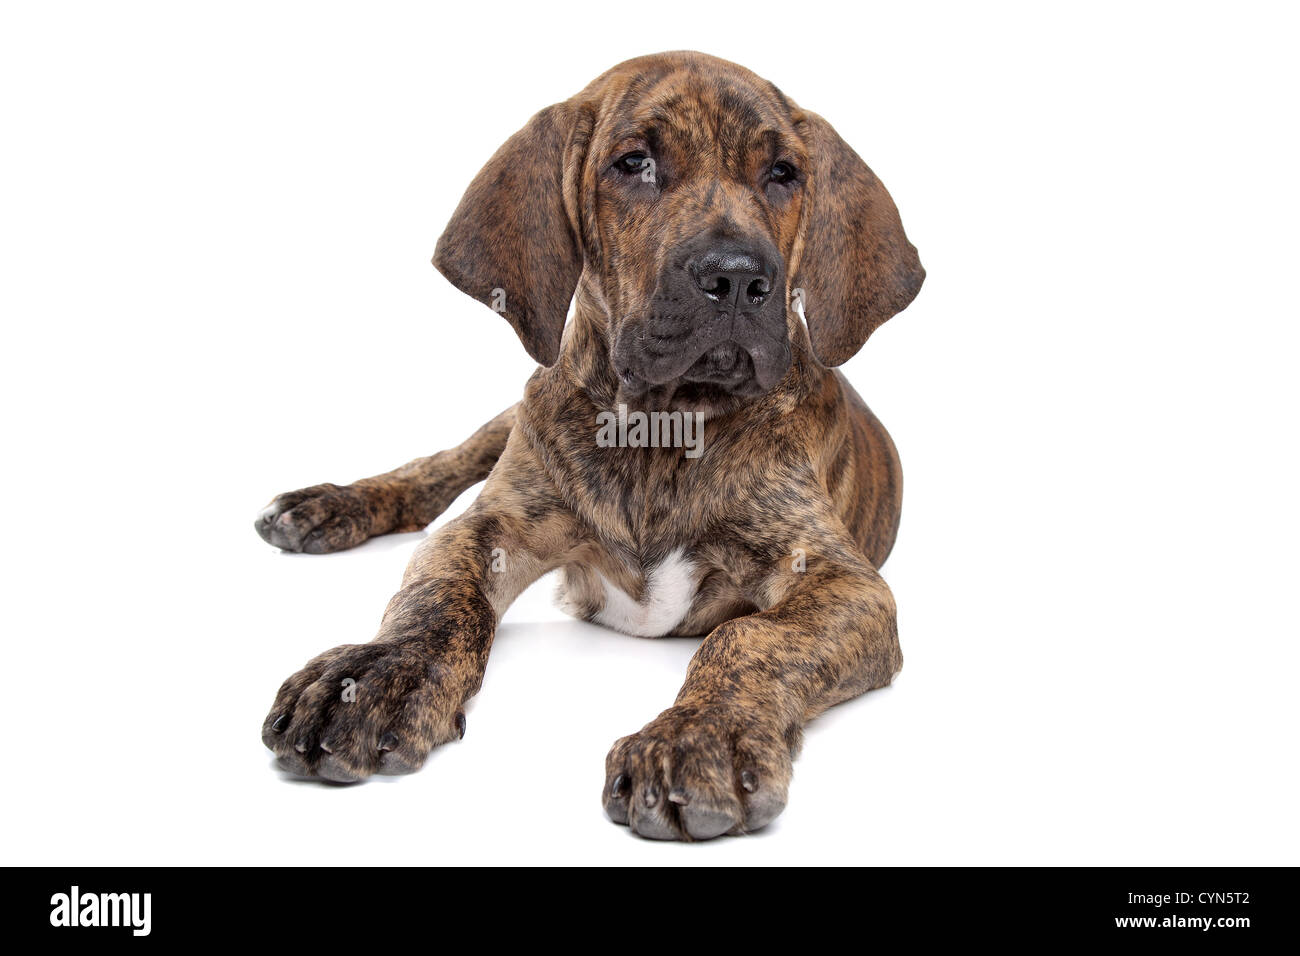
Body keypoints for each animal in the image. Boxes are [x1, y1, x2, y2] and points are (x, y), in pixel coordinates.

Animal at [256, 50, 925, 842]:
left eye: (783, 173)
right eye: (634, 163)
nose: (736, 277)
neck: (663, 426)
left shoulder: (841, 580)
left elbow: (750, 640)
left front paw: (700, 736)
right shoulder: (495, 525)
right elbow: (439, 595)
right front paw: (379, 674)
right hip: (516, 418)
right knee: (438, 468)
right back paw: (328, 505)